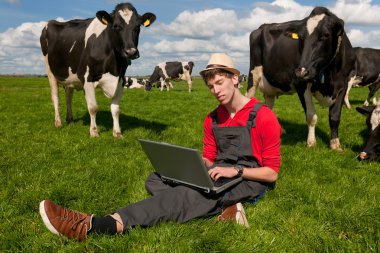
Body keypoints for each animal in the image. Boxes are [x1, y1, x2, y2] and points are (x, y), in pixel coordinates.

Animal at [40, 2, 156, 137]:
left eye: (138, 27)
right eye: (116, 26)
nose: (131, 52)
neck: (113, 65)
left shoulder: (121, 79)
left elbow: (115, 109)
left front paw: (117, 133)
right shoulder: (87, 77)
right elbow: (93, 107)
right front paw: (94, 132)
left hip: (69, 76)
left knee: (69, 96)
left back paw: (70, 119)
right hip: (50, 72)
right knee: (55, 97)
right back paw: (58, 123)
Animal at [248, 6, 354, 150]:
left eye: (326, 35)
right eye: (301, 38)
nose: (301, 71)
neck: (330, 75)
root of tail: (261, 27)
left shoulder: (343, 84)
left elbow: (334, 117)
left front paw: (335, 144)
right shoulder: (301, 84)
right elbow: (311, 116)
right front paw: (311, 142)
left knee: (268, 105)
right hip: (253, 75)